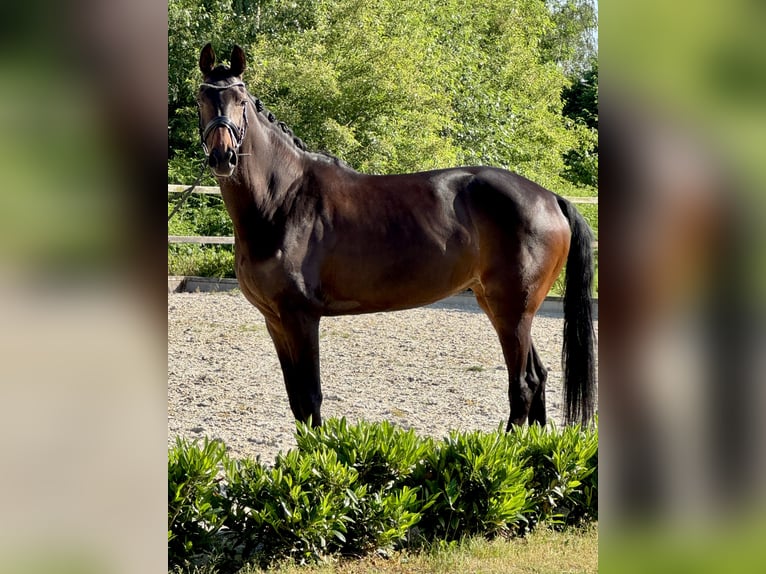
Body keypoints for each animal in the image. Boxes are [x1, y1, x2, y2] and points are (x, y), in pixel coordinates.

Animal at [195, 43, 596, 430]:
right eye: (201, 98)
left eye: (241, 100)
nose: (223, 157)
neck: (283, 199)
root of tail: (551, 199)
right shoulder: (275, 320)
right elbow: (297, 402)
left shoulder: (300, 318)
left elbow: (310, 400)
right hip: (504, 306)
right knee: (538, 378)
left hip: (513, 309)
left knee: (524, 384)